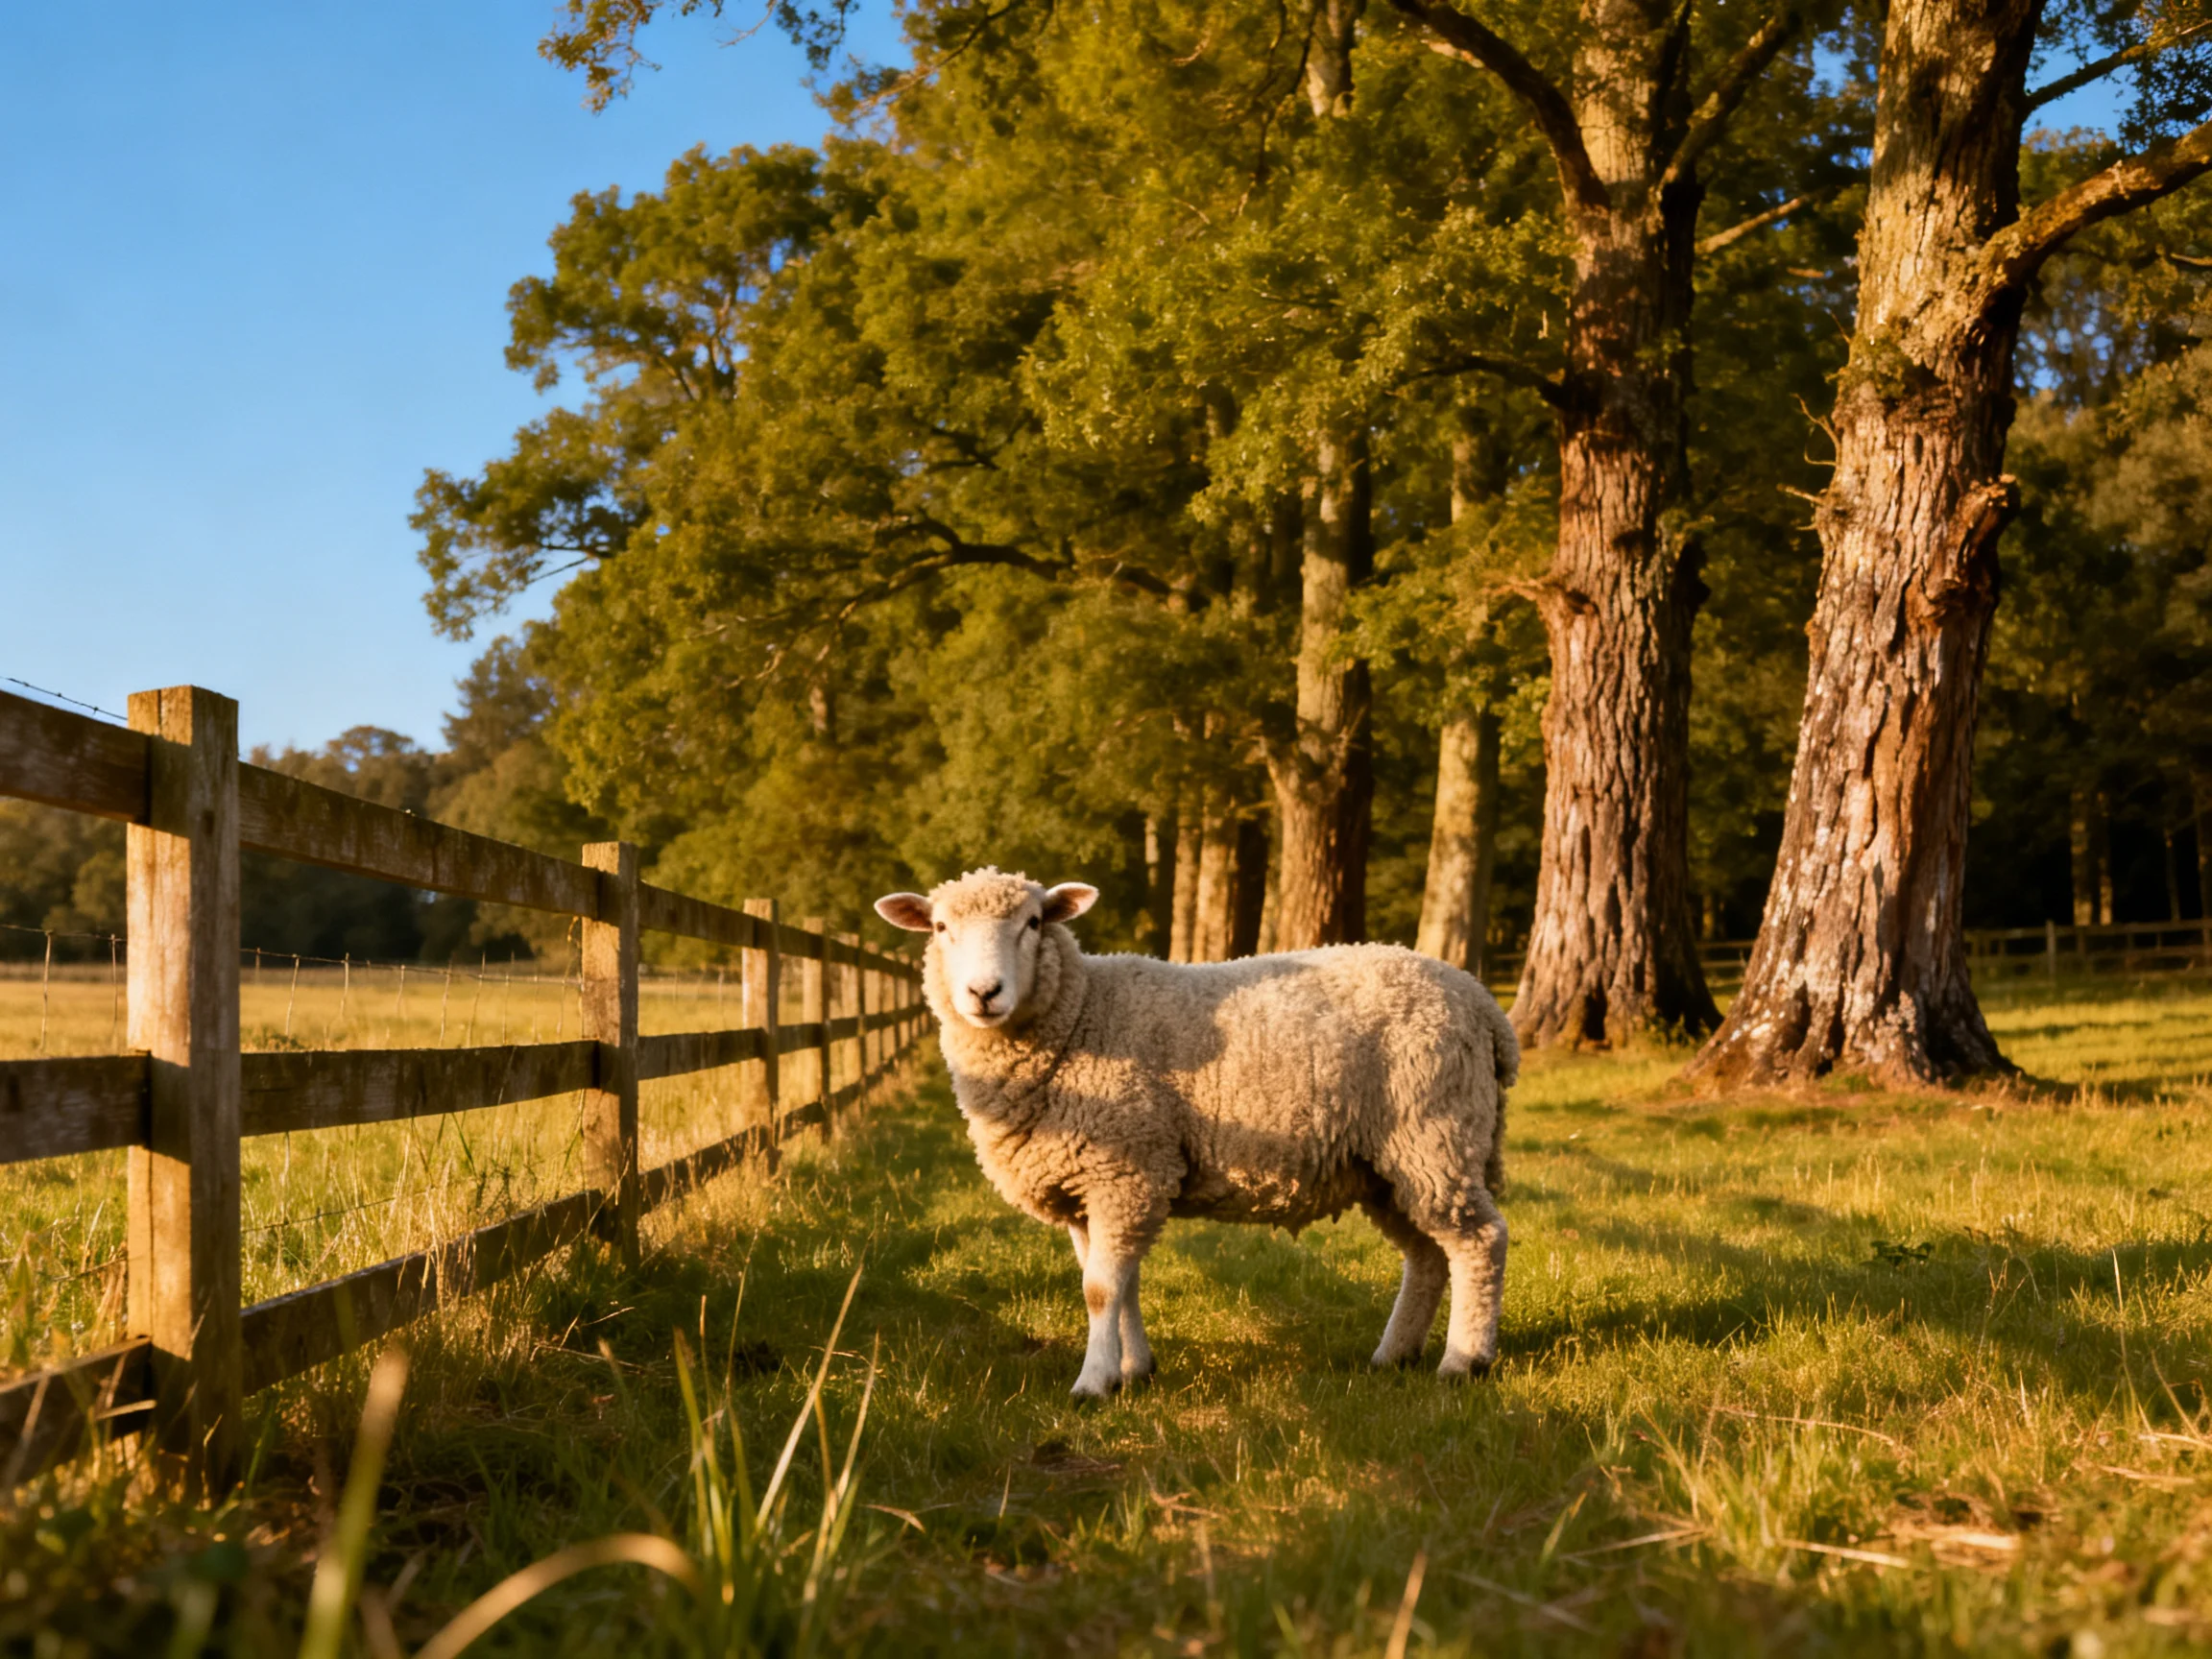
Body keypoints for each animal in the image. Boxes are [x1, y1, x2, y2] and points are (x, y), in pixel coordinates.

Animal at [874, 866, 1516, 1399]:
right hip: (1389, 1163)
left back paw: (1464, 1361)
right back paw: (1395, 1354)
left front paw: (1093, 1384)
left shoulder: (1126, 1170)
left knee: (1478, 1242)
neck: (1081, 1015)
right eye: (940, 926)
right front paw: (1134, 1370)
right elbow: (1116, 1283)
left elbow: (1100, 1289)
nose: (984, 993)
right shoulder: (1089, 1183)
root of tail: (1482, 1003)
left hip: (1435, 1131)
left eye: (1033, 922)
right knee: (1428, 1256)